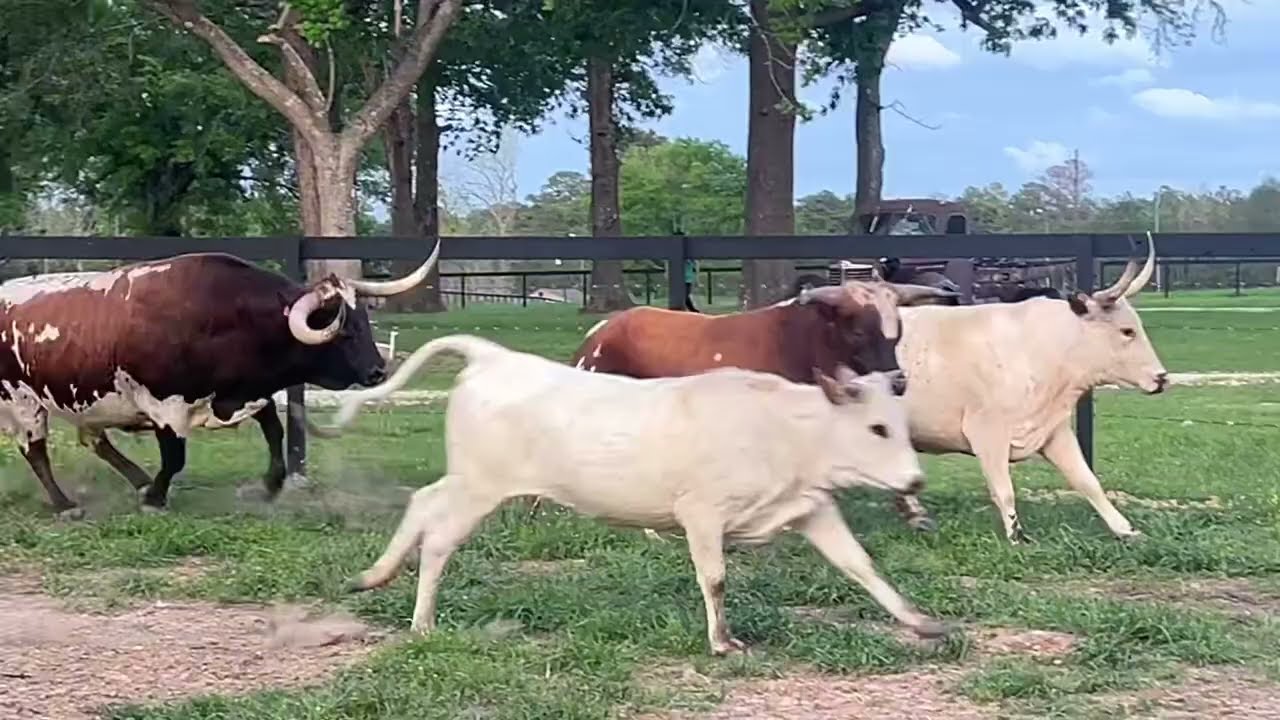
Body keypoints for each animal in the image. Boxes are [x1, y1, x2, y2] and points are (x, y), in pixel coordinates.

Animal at [0, 240, 440, 518]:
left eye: (365, 320)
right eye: (344, 331)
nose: (378, 371)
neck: (227, 318)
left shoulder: (245, 393)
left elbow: (274, 429)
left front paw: (270, 484)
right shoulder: (166, 408)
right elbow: (175, 459)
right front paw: (156, 497)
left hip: (88, 403)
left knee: (94, 441)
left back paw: (136, 481)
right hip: (23, 403)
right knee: (36, 452)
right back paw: (66, 504)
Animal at [318, 334, 951, 655]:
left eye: (901, 423)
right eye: (877, 428)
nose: (914, 482)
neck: (784, 428)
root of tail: (495, 357)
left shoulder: (811, 509)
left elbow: (861, 566)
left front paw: (921, 624)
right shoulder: (701, 513)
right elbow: (714, 577)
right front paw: (723, 641)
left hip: (467, 482)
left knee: (422, 502)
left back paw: (372, 577)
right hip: (481, 488)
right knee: (440, 539)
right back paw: (422, 623)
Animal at [889, 239, 1166, 543]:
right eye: (1127, 331)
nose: (1162, 378)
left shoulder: (1053, 431)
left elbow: (1087, 481)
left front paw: (1126, 529)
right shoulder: (987, 432)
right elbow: (1004, 490)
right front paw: (1016, 535)